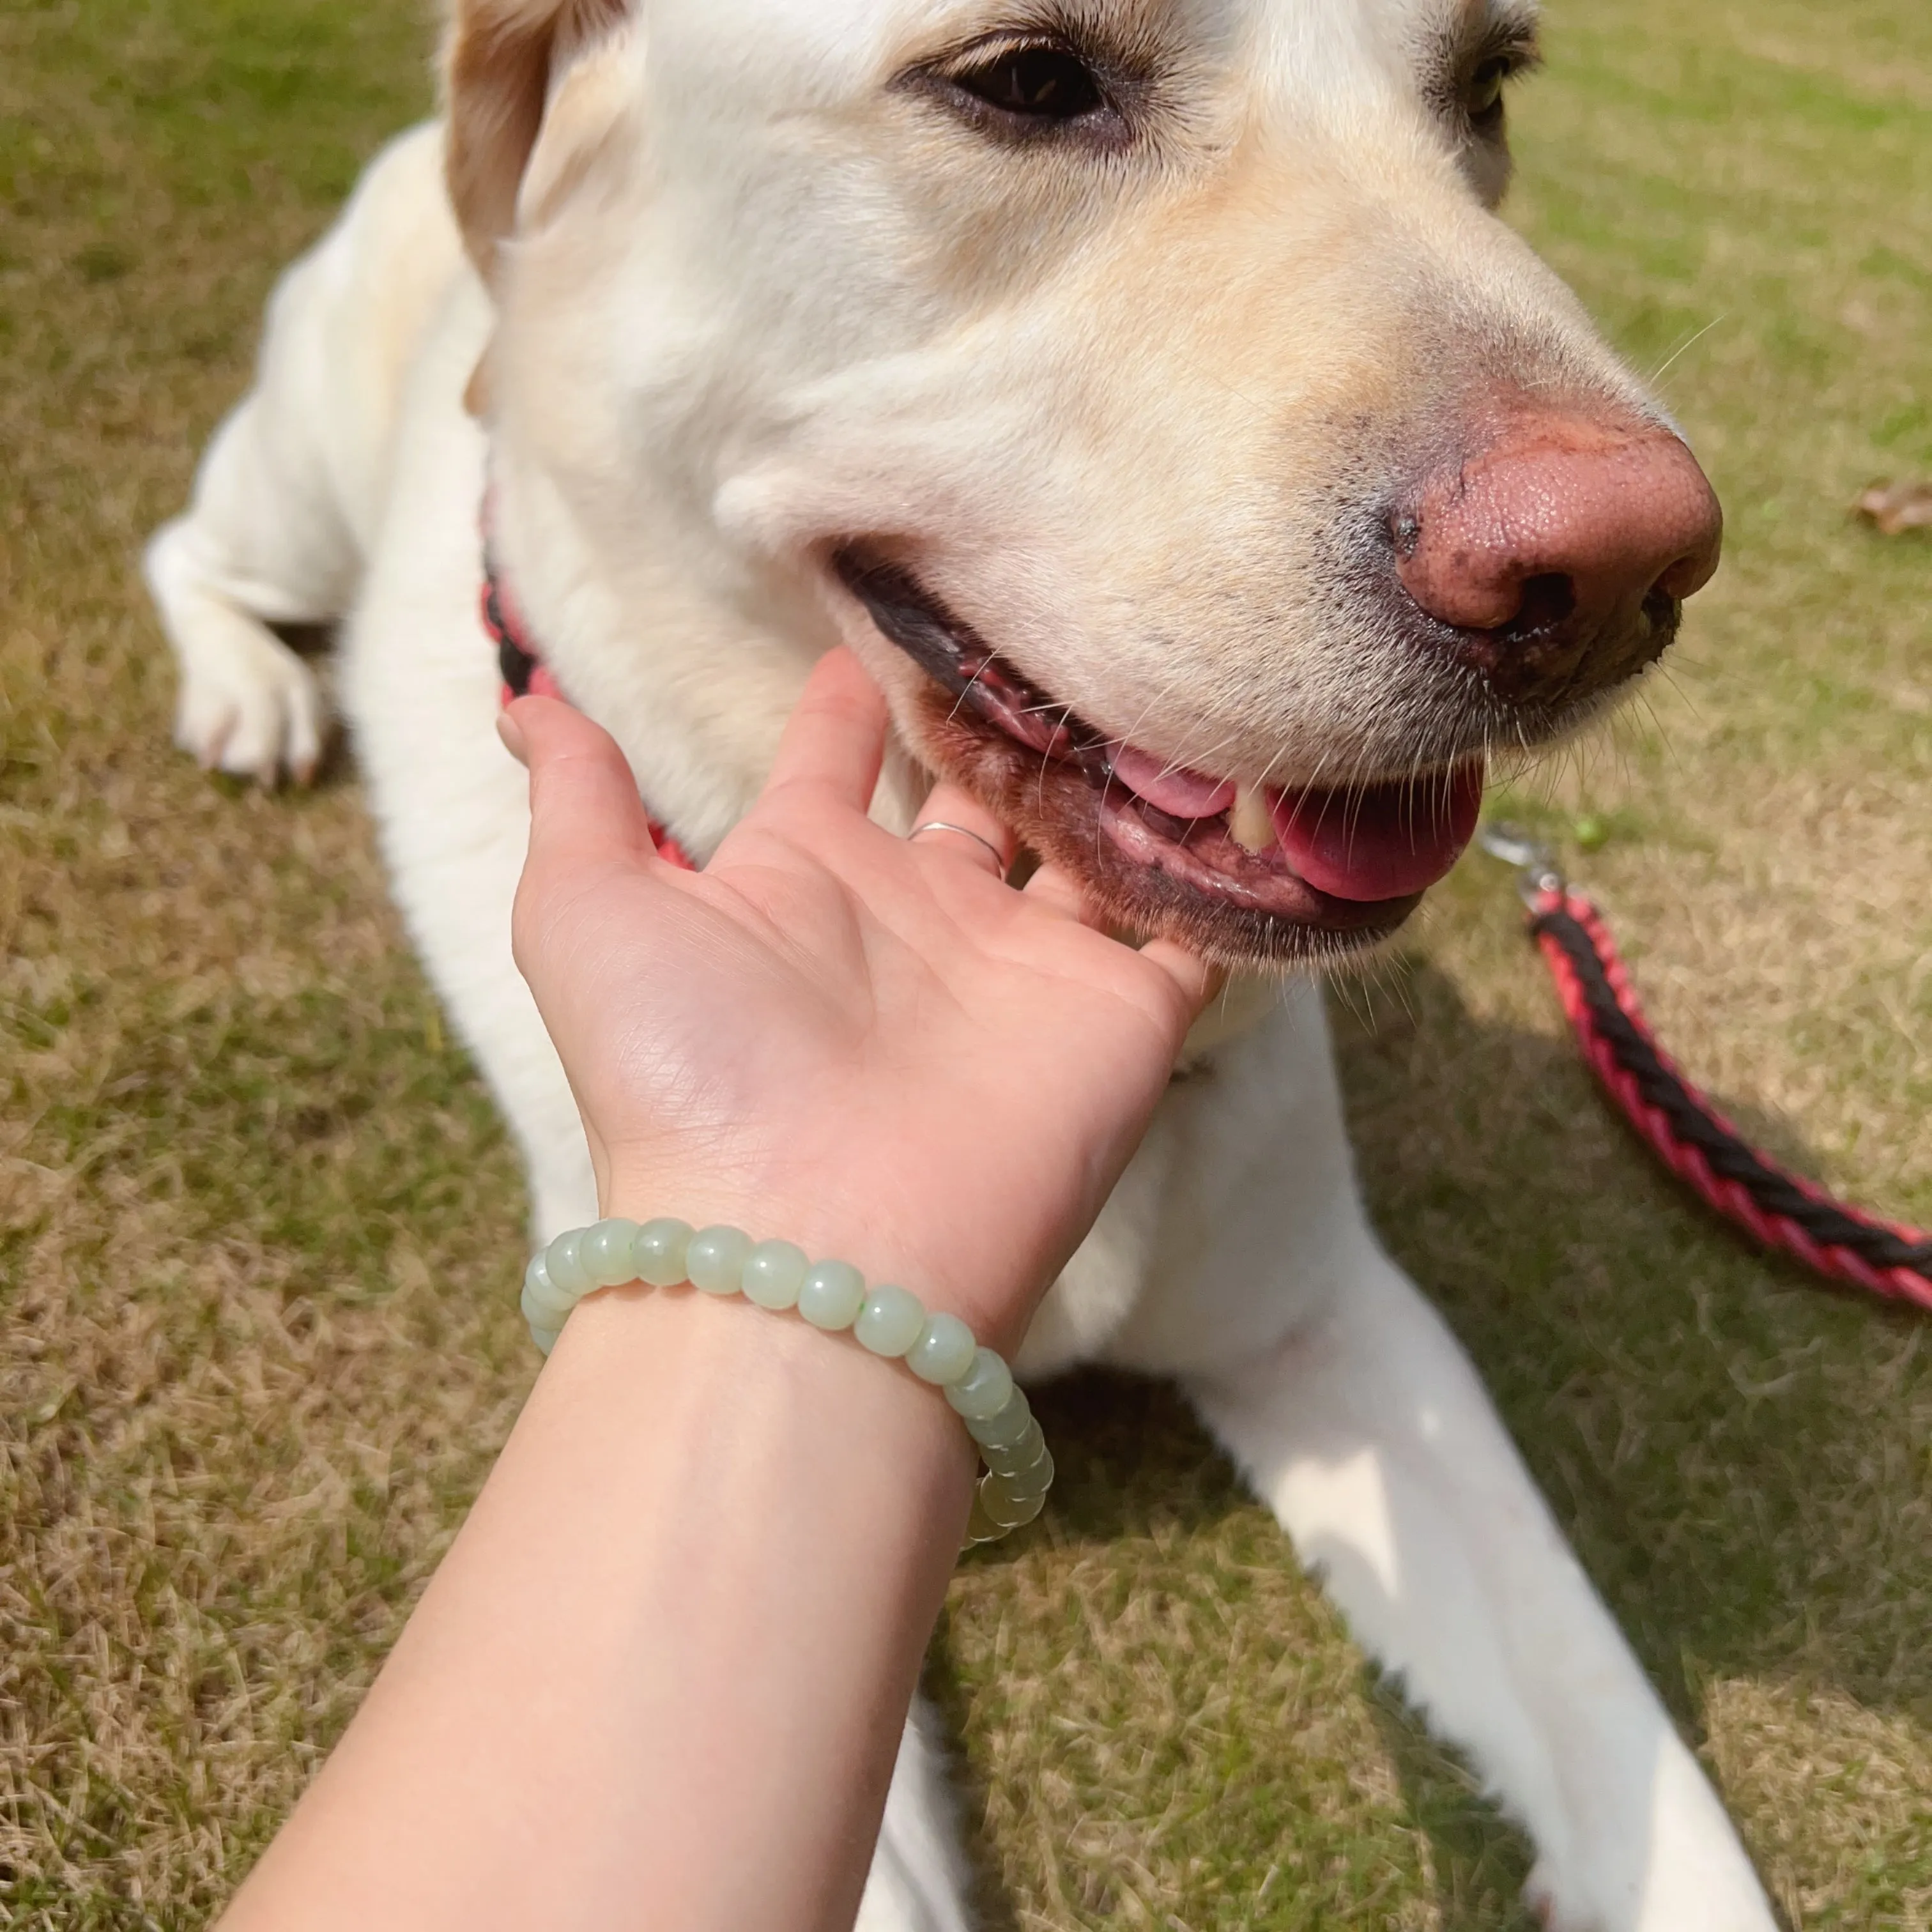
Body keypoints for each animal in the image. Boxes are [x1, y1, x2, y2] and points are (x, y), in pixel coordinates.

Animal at [150, 7, 1769, 1924]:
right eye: (1027, 80)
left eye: (1489, 85)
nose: (1622, 571)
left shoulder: (1336, 1320)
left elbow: (1637, 1773)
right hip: (299, 479)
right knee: (191, 552)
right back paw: (249, 688)